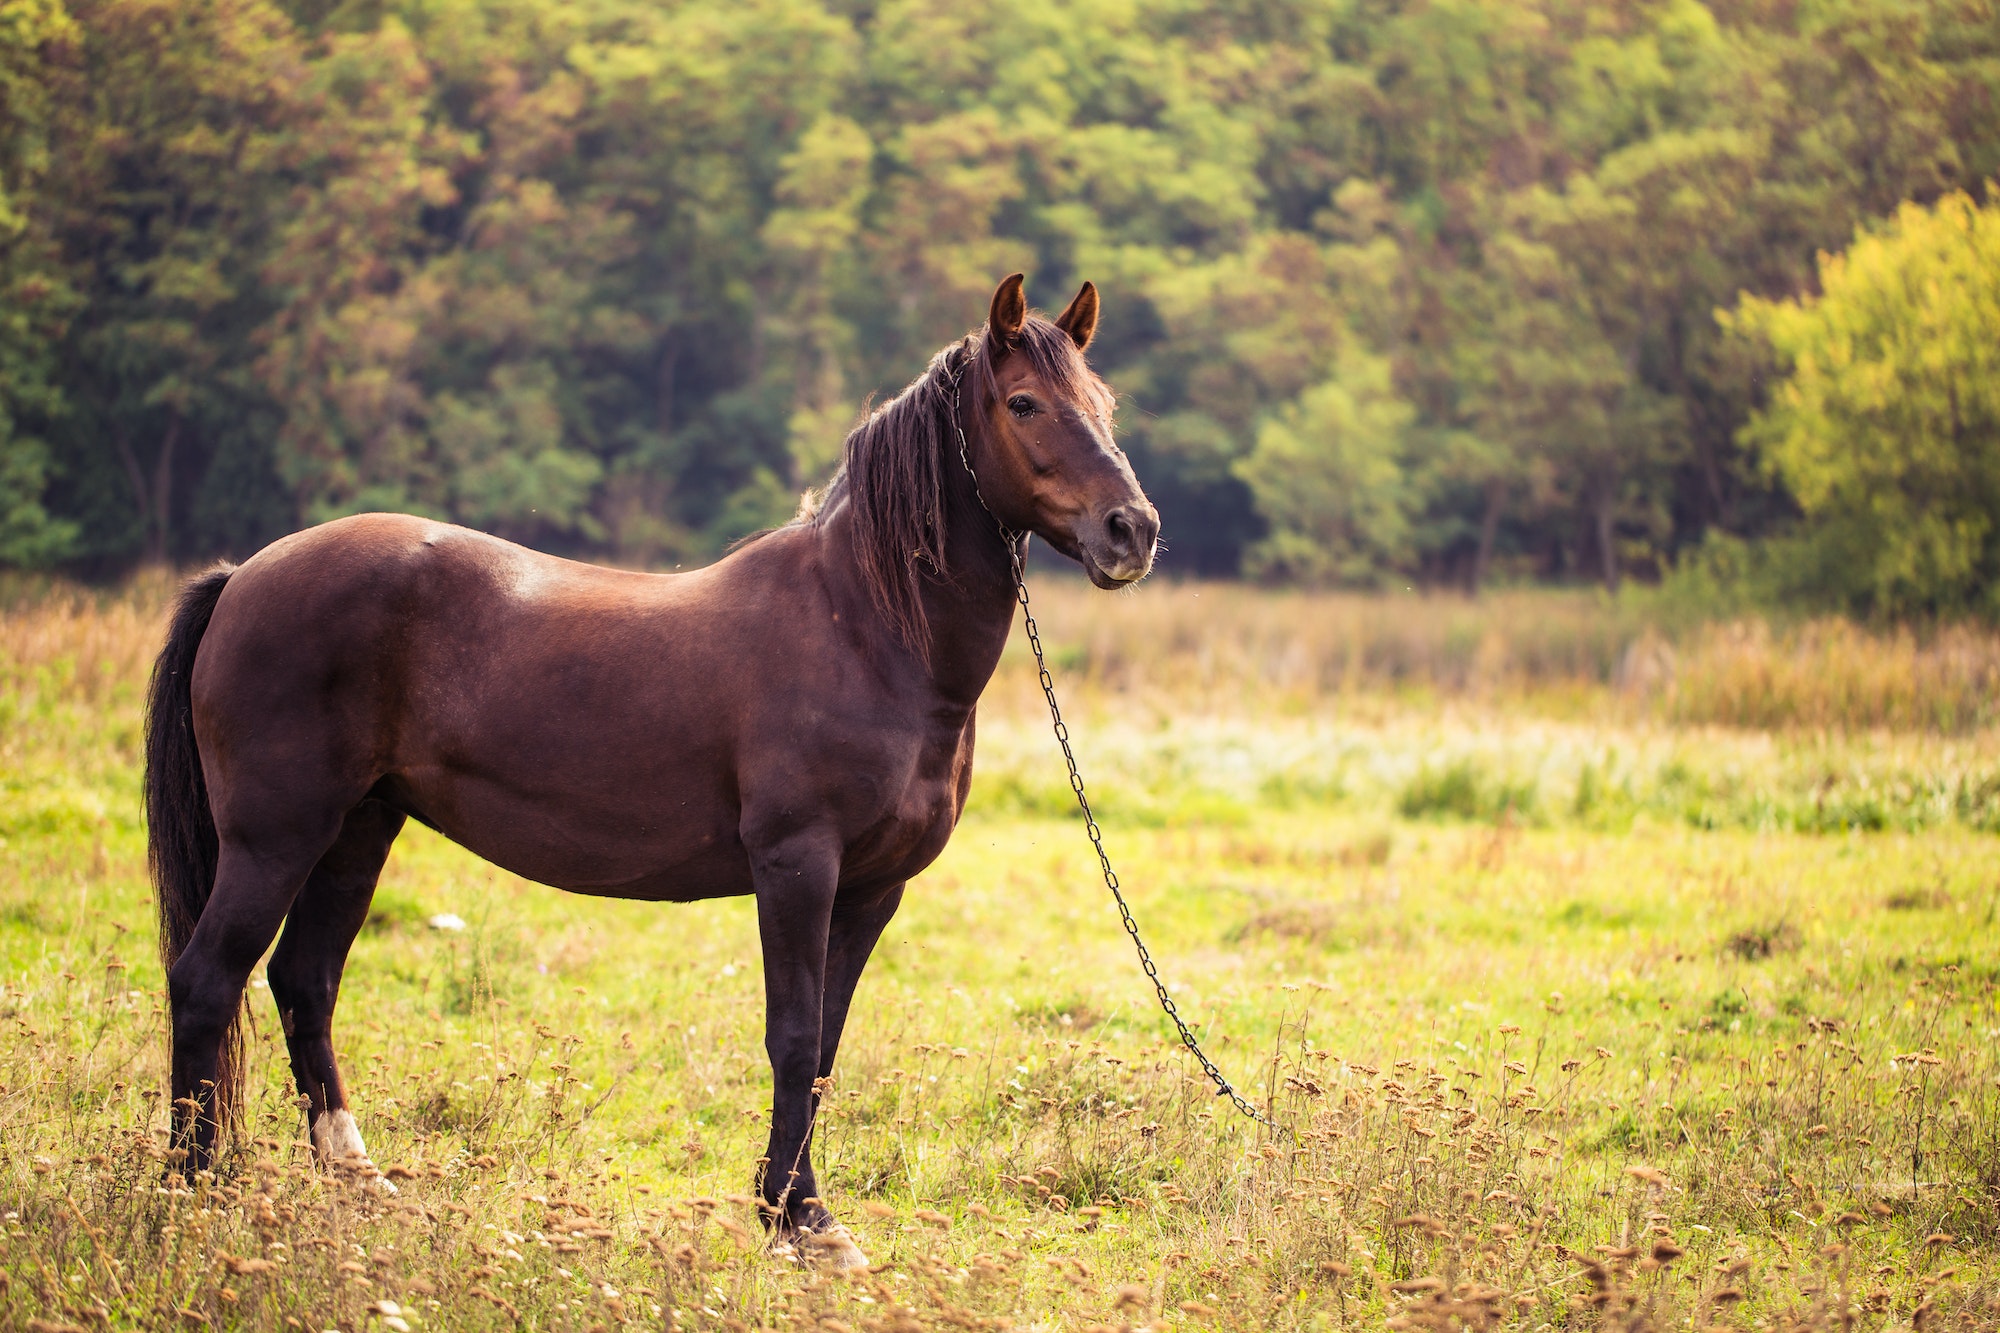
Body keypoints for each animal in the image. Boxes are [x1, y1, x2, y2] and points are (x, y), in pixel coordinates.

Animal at [141, 274, 1160, 1264]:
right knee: (207, 981)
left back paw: (354, 1182)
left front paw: (799, 1214)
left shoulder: (873, 889)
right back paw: (190, 1197)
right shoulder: (797, 867)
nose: (1133, 530)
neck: (866, 627)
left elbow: (826, 1050)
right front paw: (800, 1221)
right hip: (276, 837)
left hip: (358, 829)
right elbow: (793, 1039)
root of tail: (243, 575)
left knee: (302, 981)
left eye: (1105, 402)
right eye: (1024, 403)